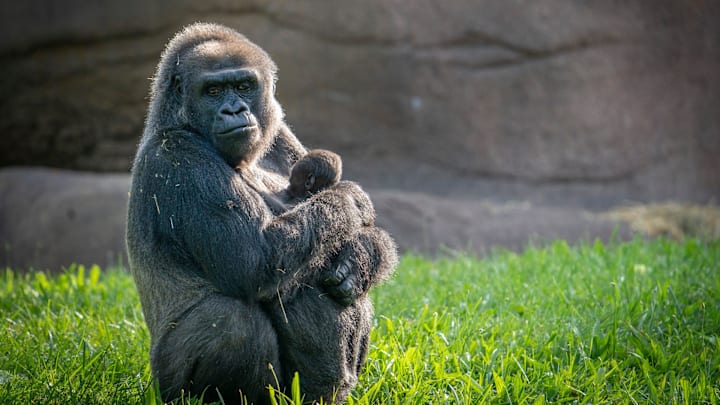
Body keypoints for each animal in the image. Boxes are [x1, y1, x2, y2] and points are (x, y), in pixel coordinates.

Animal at [128, 22, 400, 404]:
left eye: (244, 86)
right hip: (167, 386)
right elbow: (255, 260)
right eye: (213, 91)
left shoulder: (279, 130)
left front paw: (362, 257)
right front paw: (351, 199)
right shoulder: (179, 157)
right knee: (232, 322)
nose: (234, 110)